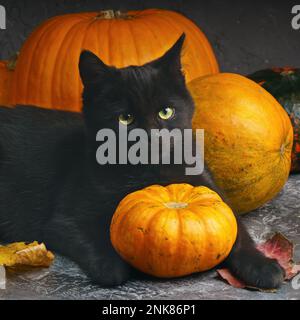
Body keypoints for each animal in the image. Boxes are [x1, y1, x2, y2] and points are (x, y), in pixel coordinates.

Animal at [0, 35, 284, 290]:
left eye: (166, 111)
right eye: (125, 118)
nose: (149, 137)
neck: (149, 172)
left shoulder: (211, 191)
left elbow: (238, 234)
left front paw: (263, 268)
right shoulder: (64, 220)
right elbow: (94, 242)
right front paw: (114, 265)